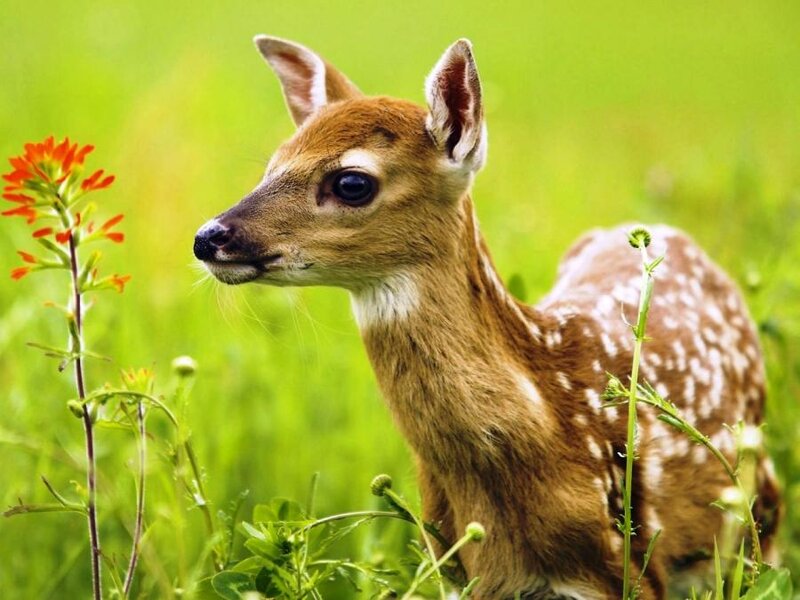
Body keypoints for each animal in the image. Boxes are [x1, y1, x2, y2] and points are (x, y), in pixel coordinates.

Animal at [193, 36, 780, 599]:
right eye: (274, 163)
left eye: (351, 182)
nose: (209, 237)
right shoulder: (458, 569)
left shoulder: (629, 564)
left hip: (761, 517)